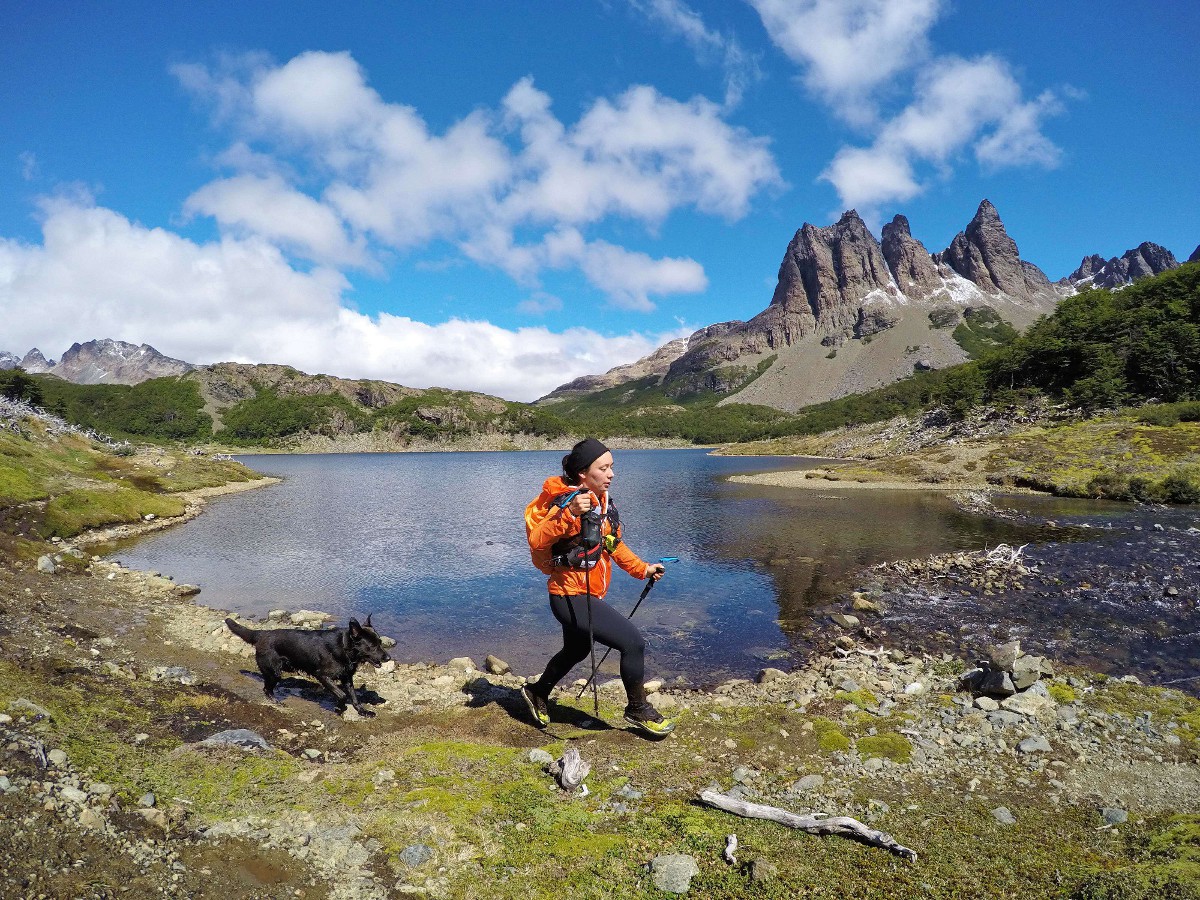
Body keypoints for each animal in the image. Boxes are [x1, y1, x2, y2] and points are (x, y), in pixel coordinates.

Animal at [225, 614, 388, 720]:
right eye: (372, 646)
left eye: (380, 642)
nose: (388, 658)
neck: (344, 646)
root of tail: (261, 634)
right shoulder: (322, 675)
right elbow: (342, 695)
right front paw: (339, 708)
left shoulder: (347, 678)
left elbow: (354, 697)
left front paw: (362, 711)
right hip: (274, 672)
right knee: (266, 689)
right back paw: (275, 701)